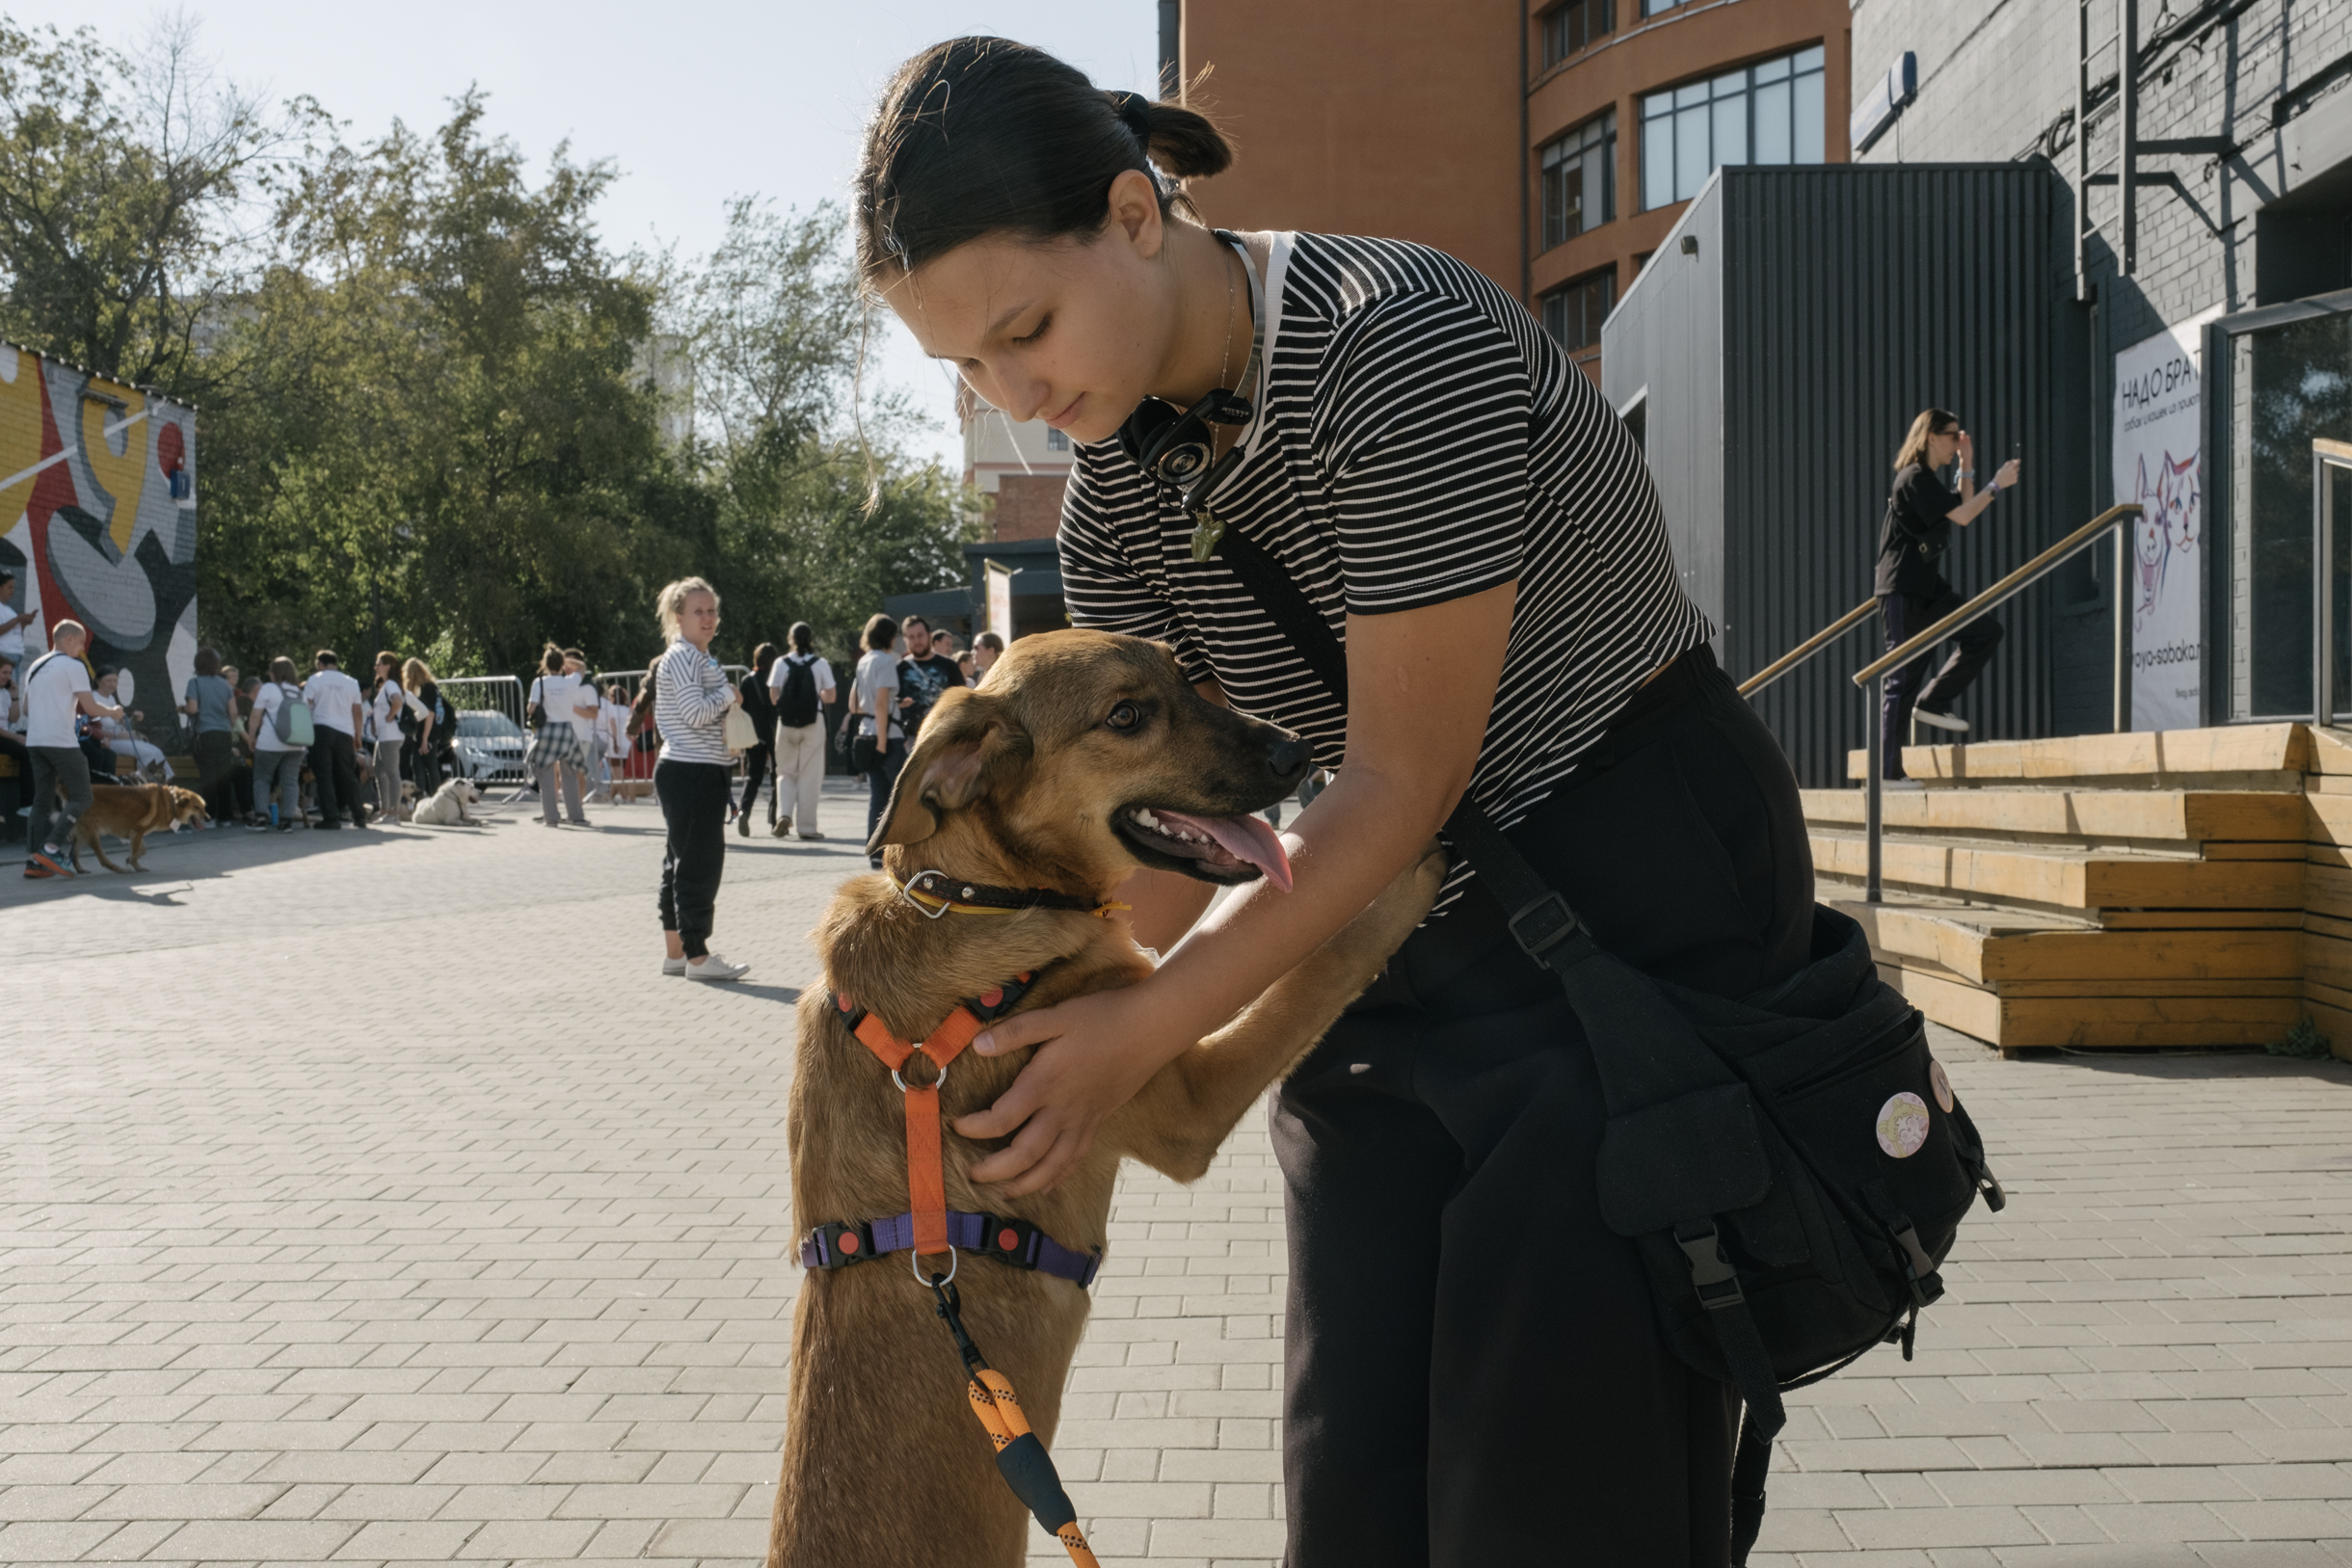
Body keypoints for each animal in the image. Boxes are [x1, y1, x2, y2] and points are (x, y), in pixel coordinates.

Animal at [67, 780, 207, 869]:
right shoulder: (137, 832)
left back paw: (80, 870)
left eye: (204, 807)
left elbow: (142, 850)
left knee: (73, 856)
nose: (208, 818)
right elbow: (135, 853)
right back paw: (119, 870)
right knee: (102, 859)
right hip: (92, 834)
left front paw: (129, 860)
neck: (171, 802)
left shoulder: (135, 833)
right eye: (196, 808)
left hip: (81, 836)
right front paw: (136, 866)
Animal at [762, 629, 1439, 1568]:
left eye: (1185, 676)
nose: (1298, 754)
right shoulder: (1183, 1097)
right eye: (1126, 715)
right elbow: (1319, 966)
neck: (971, 897)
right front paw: (1411, 868)